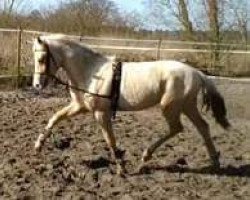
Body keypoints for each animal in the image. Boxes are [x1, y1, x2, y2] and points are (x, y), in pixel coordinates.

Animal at [32, 35, 230, 174]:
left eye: (41, 59)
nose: (36, 85)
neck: (92, 72)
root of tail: (196, 72)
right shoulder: (80, 106)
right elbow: (55, 118)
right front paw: (38, 145)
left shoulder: (101, 113)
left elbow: (110, 140)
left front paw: (121, 169)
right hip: (187, 106)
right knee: (202, 127)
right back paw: (215, 162)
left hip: (171, 106)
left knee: (177, 128)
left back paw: (146, 156)